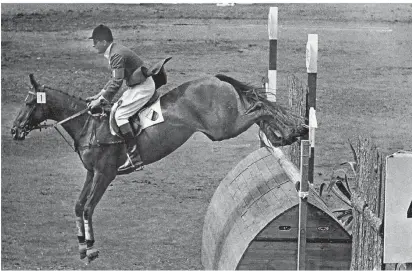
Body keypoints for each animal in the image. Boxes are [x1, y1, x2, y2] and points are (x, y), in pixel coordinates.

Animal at [11, 74, 308, 264]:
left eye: (28, 103)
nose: (14, 130)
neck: (88, 125)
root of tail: (214, 78)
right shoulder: (91, 174)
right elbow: (78, 206)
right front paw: (82, 245)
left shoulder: (104, 175)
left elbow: (87, 208)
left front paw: (91, 249)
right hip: (223, 127)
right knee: (258, 110)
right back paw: (280, 137)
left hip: (223, 127)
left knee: (258, 108)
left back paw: (291, 133)